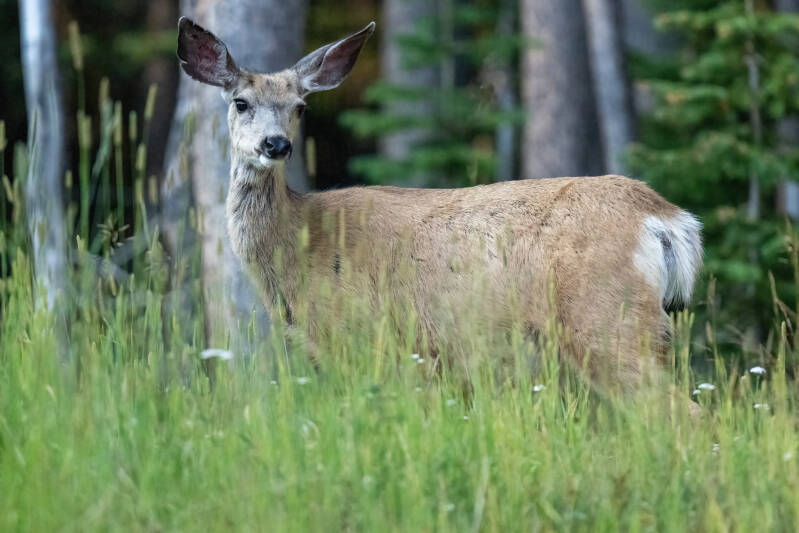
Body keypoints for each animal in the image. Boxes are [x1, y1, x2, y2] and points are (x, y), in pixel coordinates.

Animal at [176, 17, 703, 403]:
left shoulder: (362, 339)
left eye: (300, 107)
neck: (300, 242)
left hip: (605, 318)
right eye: (240, 102)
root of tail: (664, 217)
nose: (276, 144)